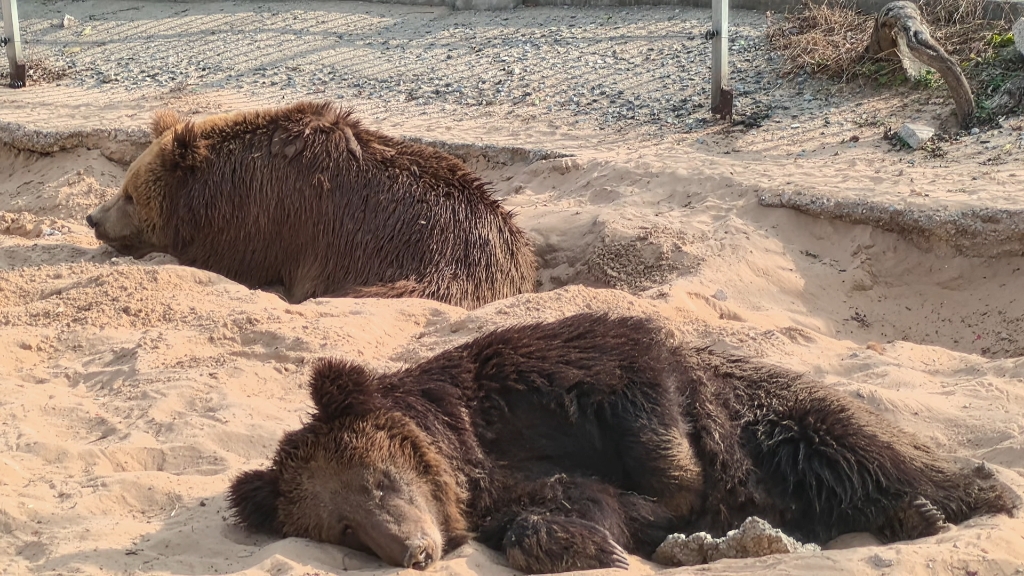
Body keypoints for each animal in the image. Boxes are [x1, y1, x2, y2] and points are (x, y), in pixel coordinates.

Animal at [224, 311, 1015, 569]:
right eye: (343, 528)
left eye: (379, 482)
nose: (415, 552)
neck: (467, 451)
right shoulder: (514, 489)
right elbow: (574, 512)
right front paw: (596, 546)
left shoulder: (551, 373)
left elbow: (642, 399)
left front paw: (677, 492)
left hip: (776, 417)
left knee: (854, 445)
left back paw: (962, 496)